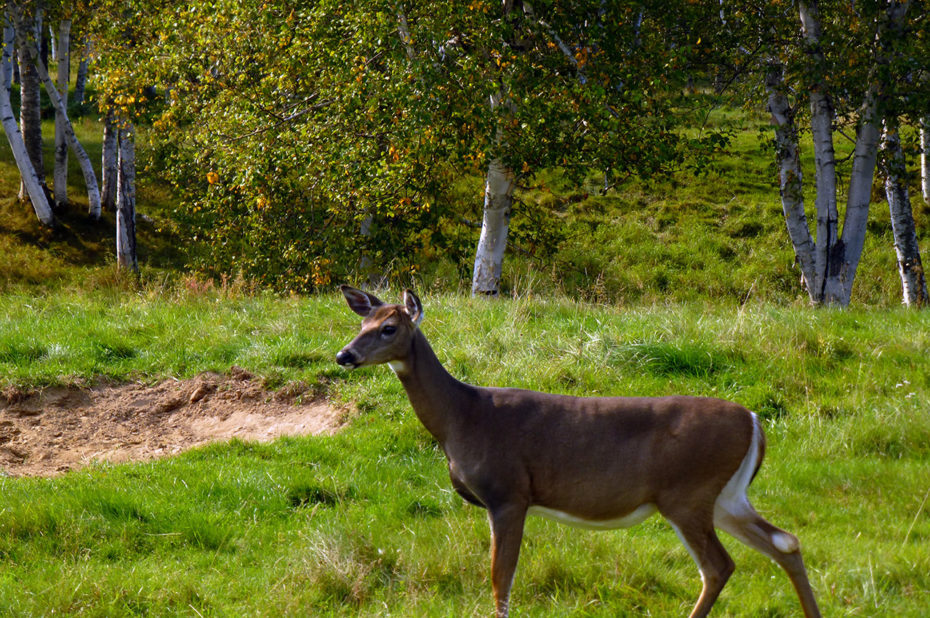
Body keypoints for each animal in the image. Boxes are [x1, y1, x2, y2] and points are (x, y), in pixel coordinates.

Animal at [334, 286, 820, 616]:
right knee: (785, 542)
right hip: (725, 496)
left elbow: (500, 580)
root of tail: (754, 421)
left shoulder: (509, 493)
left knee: (720, 566)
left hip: (687, 493)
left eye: (389, 328)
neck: (462, 417)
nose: (344, 356)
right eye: (360, 324)